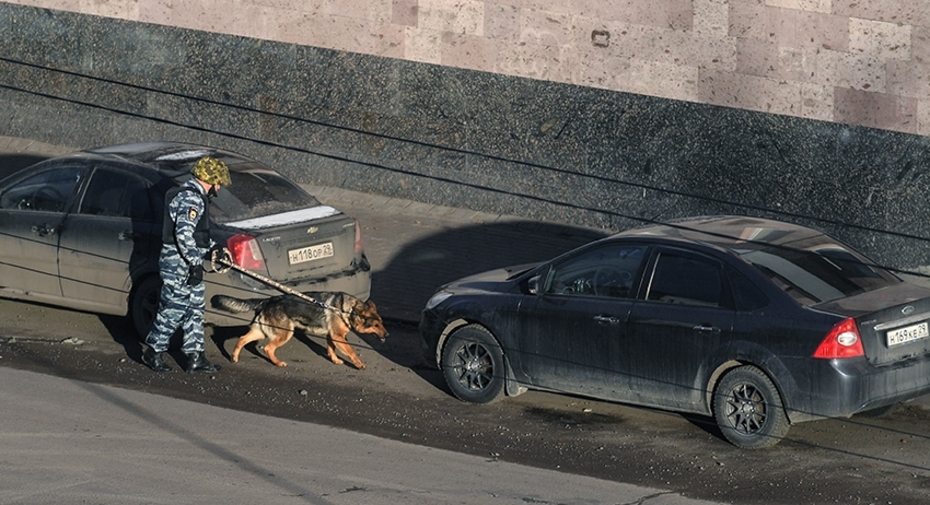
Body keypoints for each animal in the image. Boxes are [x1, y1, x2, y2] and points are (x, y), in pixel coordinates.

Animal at [212, 290, 386, 368]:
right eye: (375, 325)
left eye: (382, 323)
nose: (388, 334)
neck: (347, 310)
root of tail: (267, 300)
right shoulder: (338, 337)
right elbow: (351, 351)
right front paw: (359, 364)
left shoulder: (333, 336)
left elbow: (331, 349)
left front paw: (335, 360)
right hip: (285, 334)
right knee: (268, 348)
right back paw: (277, 363)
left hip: (260, 331)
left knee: (242, 339)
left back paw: (234, 357)